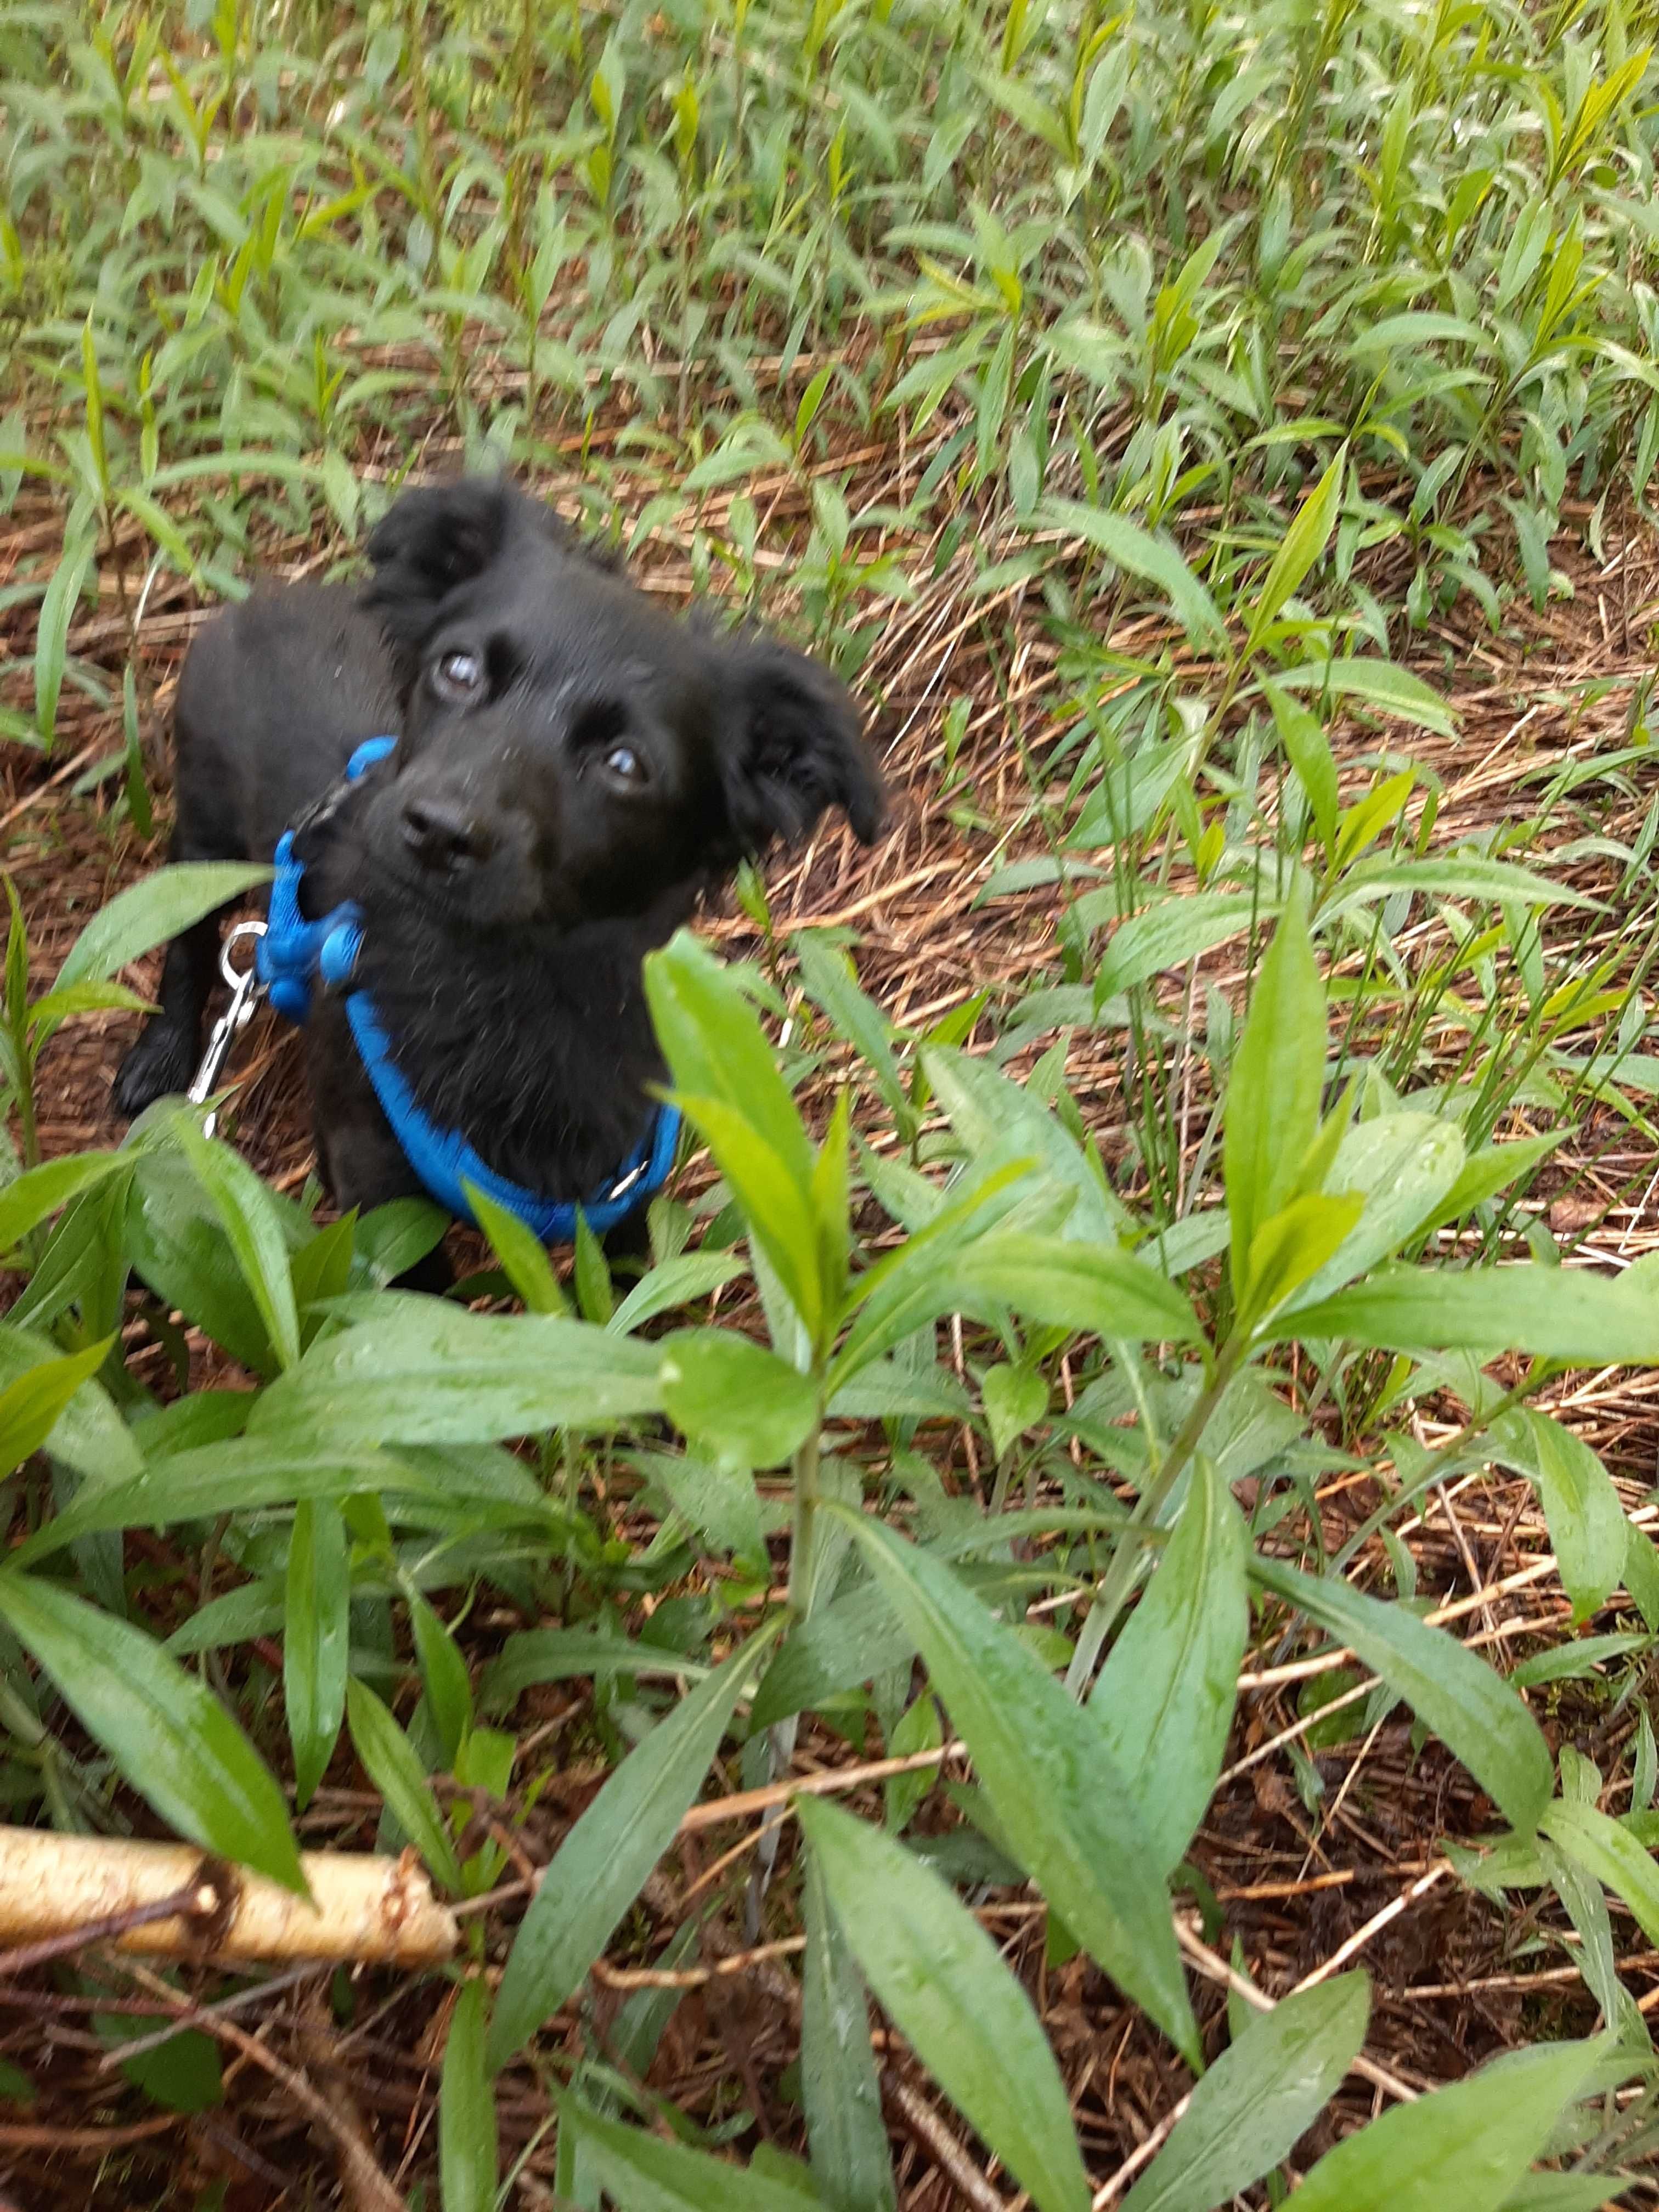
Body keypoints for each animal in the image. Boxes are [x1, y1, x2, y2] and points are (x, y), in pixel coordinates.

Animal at [114, 475, 884, 1256]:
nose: (439, 831)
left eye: (625, 765)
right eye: (459, 669)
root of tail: (261, 598)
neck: (512, 984)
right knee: (183, 934)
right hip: (205, 837)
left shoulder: (624, 1186)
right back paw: (161, 1055)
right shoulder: (372, 1177)